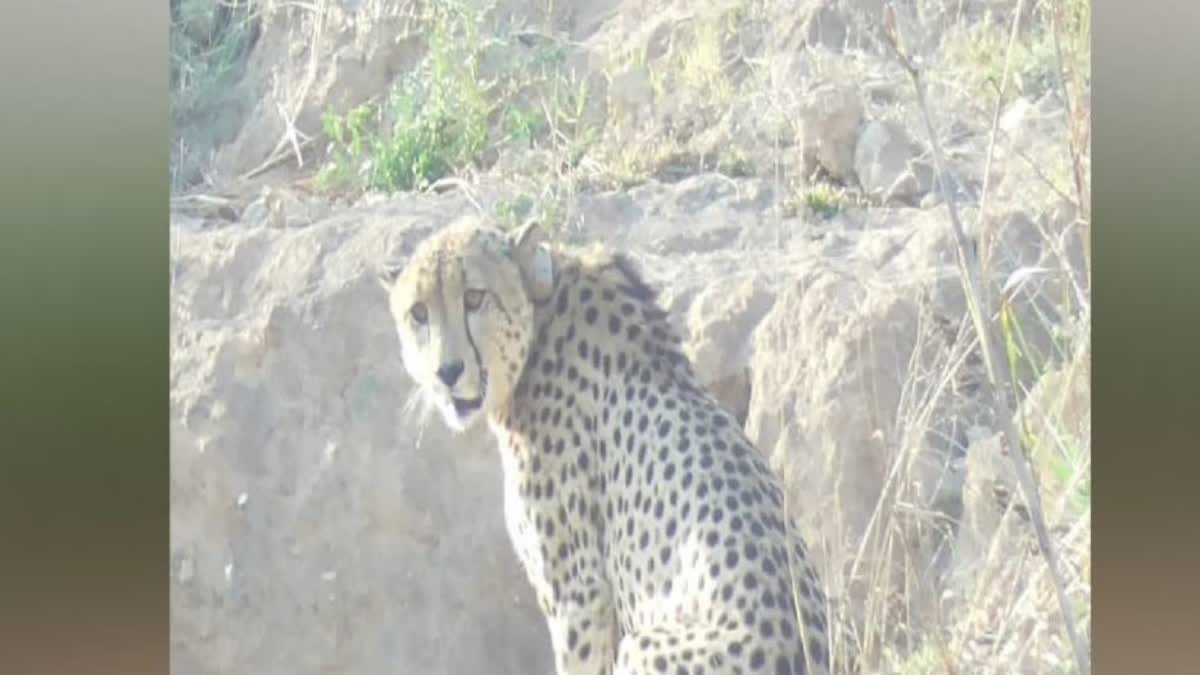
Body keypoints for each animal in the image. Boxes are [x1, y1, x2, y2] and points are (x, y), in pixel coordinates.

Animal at [379, 218, 830, 667]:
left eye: (475, 298)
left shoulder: (580, 593)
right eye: (419, 313)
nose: (447, 372)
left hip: (644, 646)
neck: (540, 321)